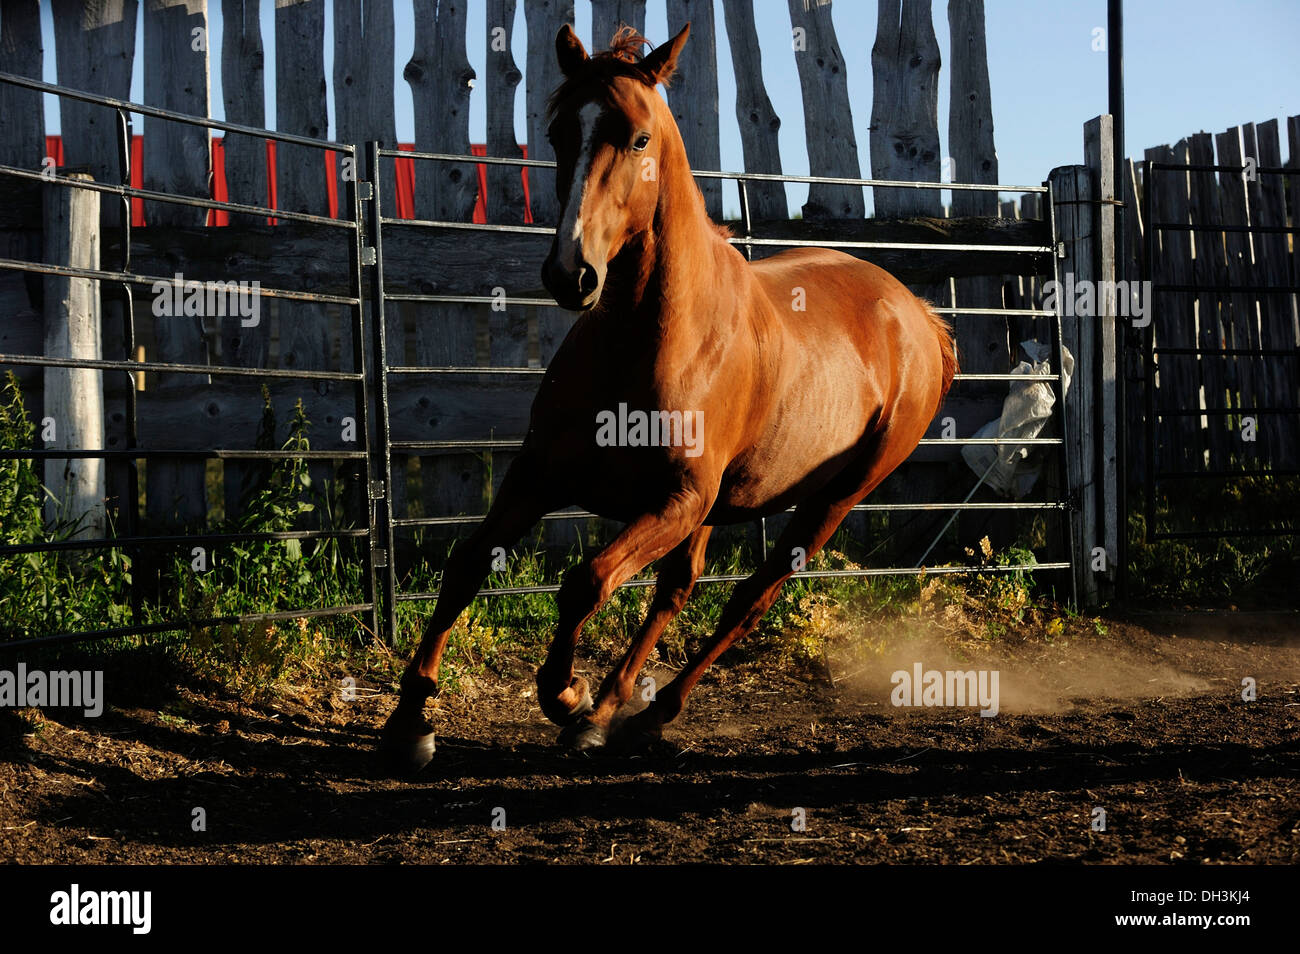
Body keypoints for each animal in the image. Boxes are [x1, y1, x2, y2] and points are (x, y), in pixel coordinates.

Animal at [377, 24, 956, 779]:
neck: (647, 341)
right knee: (679, 588)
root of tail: (917, 317)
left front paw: (565, 692)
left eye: (640, 138)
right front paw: (410, 720)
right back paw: (613, 713)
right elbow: (469, 563)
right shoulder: (541, 475)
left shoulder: (674, 501)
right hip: (716, 506)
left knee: (749, 598)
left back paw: (641, 713)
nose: (571, 273)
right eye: (559, 132)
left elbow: (586, 582)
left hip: (832, 500)